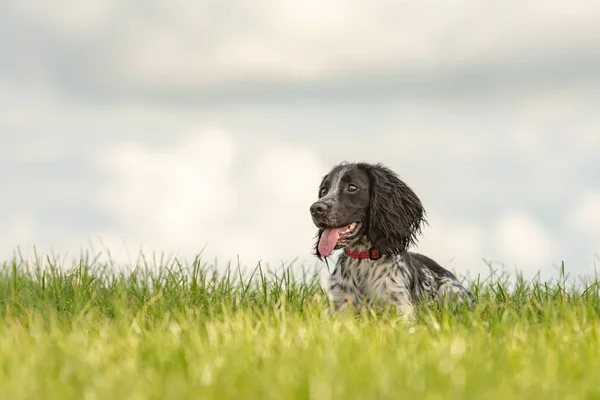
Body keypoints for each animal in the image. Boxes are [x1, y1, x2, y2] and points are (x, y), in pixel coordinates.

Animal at [310, 161, 474, 318]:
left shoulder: (401, 309)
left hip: (450, 290)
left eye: (352, 187)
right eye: (324, 190)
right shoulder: (339, 305)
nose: (315, 209)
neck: (362, 261)